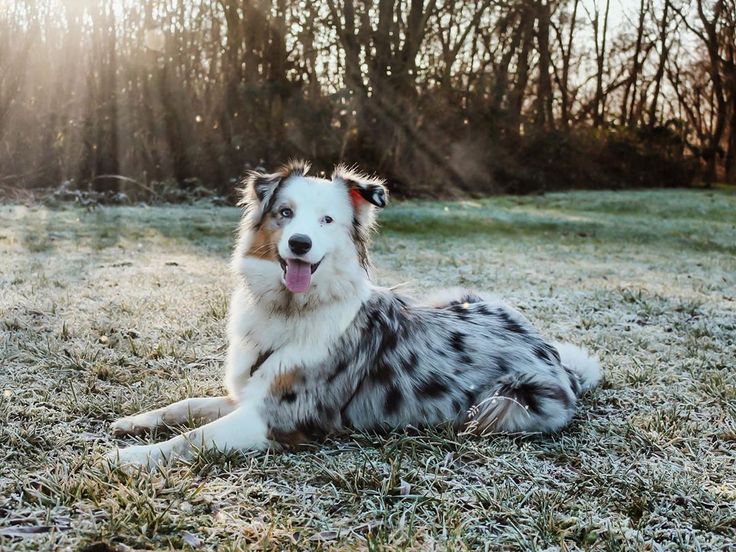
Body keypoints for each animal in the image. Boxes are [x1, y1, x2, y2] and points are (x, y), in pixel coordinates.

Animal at [110, 162, 604, 468]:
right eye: (285, 213)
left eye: (327, 221)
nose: (300, 244)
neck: (293, 311)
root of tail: (553, 357)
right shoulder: (253, 393)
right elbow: (187, 405)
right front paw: (134, 423)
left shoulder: (283, 417)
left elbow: (194, 437)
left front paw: (130, 459)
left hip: (501, 407)